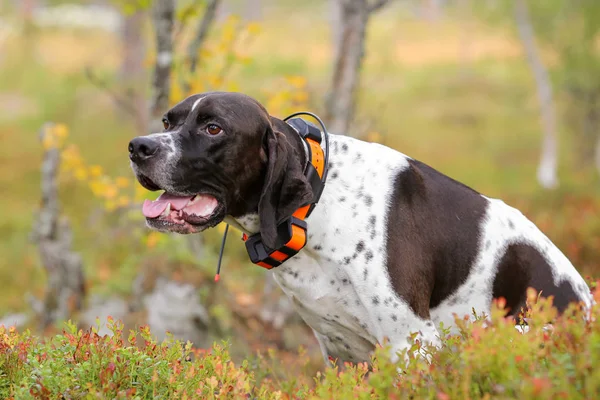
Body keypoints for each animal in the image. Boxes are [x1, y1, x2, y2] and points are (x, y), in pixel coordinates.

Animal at [129, 91, 592, 366]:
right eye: (168, 122)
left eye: (213, 128)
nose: (138, 147)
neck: (316, 210)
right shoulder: (342, 351)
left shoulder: (411, 344)